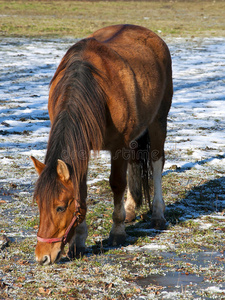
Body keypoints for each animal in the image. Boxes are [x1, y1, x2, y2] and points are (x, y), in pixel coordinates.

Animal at [31, 25, 172, 264]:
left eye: (60, 207)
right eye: (39, 204)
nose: (43, 257)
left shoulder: (119, 146)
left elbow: (117, 184)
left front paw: (117, 231)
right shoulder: (82, 149)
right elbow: (81, 190)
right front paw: (78, 242)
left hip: (158, 122)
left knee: (156, 163)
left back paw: (158, 214)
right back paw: (131, 209)